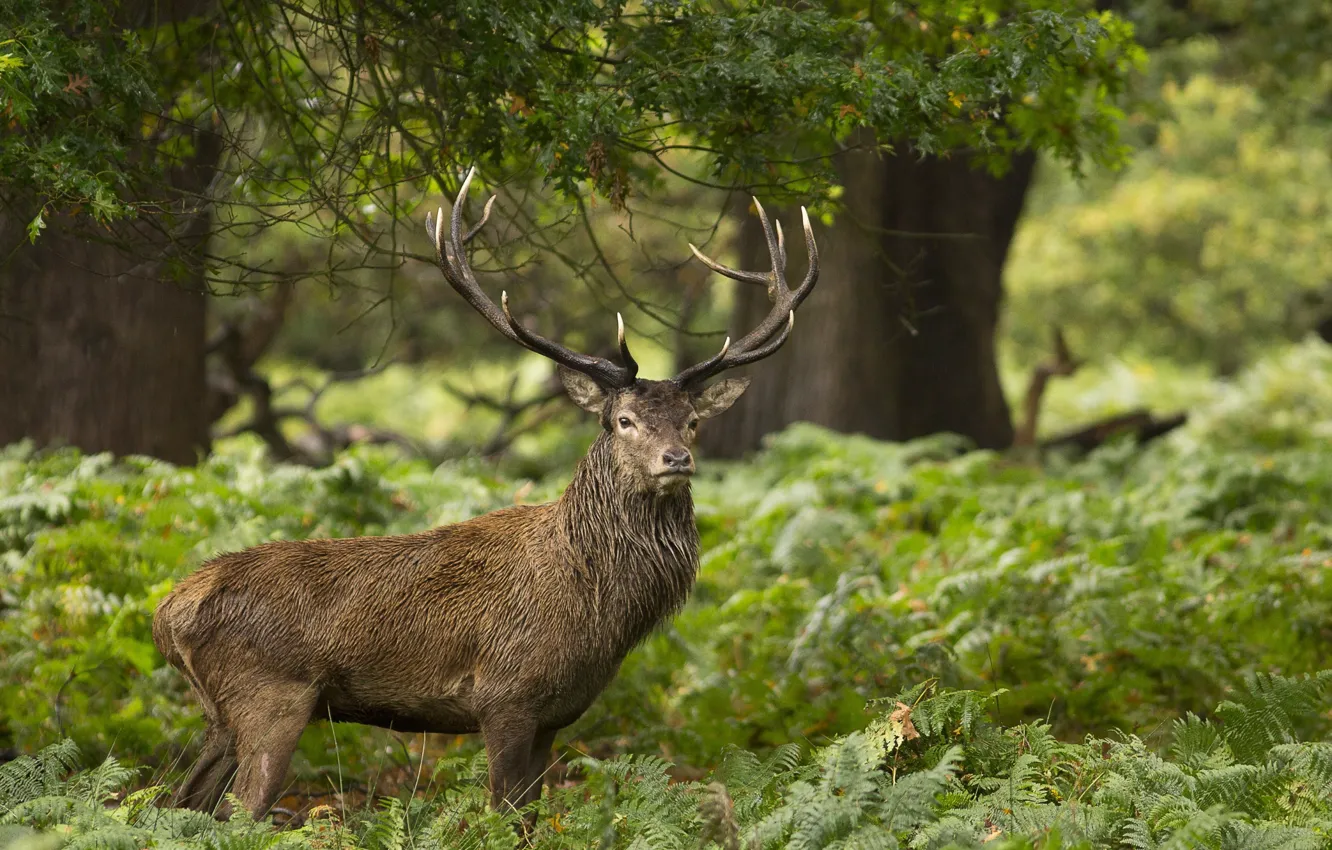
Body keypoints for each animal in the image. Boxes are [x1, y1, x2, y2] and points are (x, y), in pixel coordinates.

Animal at [153, 169, 820, 831]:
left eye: (692, 422)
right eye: (623, 420)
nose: (676, 460)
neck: (599, 609)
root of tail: (168, 612)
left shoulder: (555, 717)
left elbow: (532, 819)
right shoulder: (505, 697)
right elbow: (502, 814)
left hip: (222, 715)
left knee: (181, 803)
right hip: (273, 697)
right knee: (239, 812)